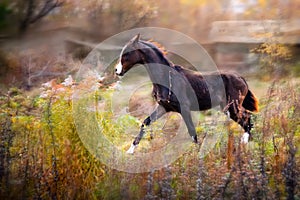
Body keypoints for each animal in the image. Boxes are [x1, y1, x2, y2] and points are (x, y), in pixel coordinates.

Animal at [115, 33, 258, 154]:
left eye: (126, 53)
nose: (116, 70)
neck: (166, 78)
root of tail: (241, 78)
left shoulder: (184, 108)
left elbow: (192, 131)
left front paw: (196, 155)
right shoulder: (164, 107)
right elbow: (145, 122)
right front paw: (130, 151)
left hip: (232, 107)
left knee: (247, 119)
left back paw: (244, 143)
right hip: (228, 108)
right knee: (247, 119)